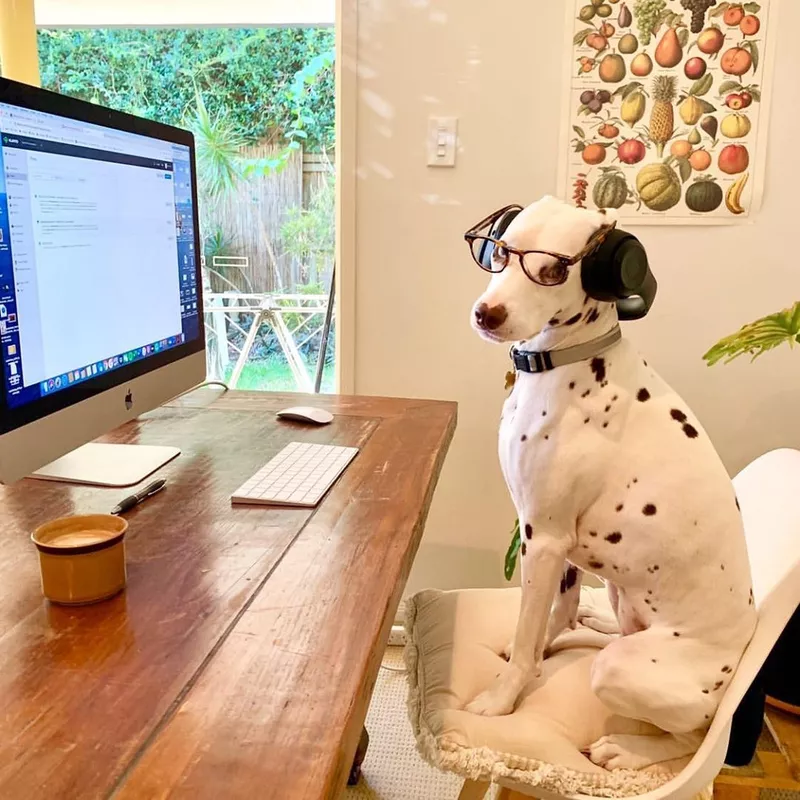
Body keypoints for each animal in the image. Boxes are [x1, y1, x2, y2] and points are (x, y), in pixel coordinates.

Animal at [462, 197, 756, 772]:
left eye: (551, 271)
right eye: (500, 250)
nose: (488, 313)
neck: (570, 362)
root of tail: (737, 665)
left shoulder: (544, 538)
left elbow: (529, 635)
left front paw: (502, 697)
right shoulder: (553, 546)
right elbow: (553, 613)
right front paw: (541, 648)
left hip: (624, 672)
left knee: (693, 737)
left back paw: (629, 749)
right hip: (623, 599)